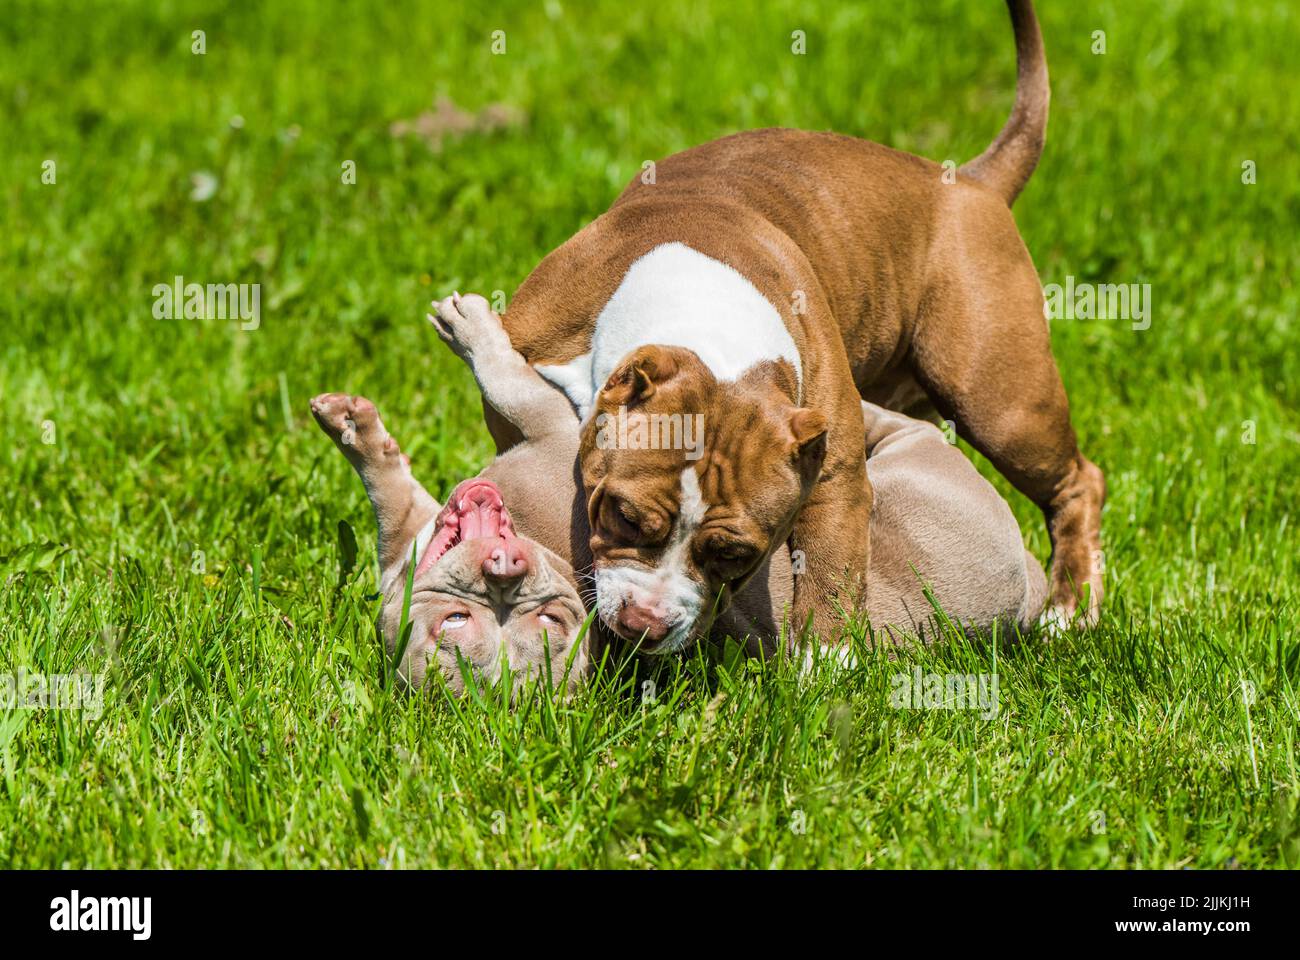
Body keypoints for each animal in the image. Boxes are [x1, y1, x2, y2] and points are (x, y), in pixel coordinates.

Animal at [483, 0, 1102, 650]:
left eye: (734, 555)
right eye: (625, 515)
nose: (643, 625)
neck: (708, 327)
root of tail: (972, 182)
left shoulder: (834, 465)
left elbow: (832, 560)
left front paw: (827, 660)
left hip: (1001, 402)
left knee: (1077, 481)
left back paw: (1070, 605)